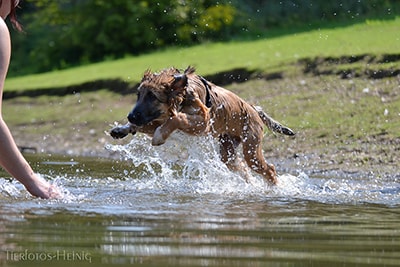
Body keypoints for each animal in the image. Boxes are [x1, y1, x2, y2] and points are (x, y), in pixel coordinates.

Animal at [109, 66, 294, 186]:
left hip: (251, 149)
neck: (183, 95)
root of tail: (254, 108)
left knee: (269, 169)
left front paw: (159, 136)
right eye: (138, 95)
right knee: (242, 168)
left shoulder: (203, 122)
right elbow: (153, 123)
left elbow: (177, 119)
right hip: (227, 151)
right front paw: (123, 128)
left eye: (152, 96)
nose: (131, 116)